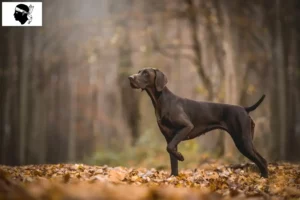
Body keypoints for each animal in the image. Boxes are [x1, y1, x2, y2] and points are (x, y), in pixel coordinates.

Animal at [127, 68, 268, 177]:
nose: (130, 77)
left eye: (146, 73)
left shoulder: (186, 127)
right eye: (139, 72)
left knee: (262, 161)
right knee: (262, 160)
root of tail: (244, 108)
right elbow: (172, 160)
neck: (161, 101)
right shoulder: (169, 137)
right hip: (247, 141)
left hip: (242, 141)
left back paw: (263, 180)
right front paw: (173, 178)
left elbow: (170, 148)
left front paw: (181, 157)